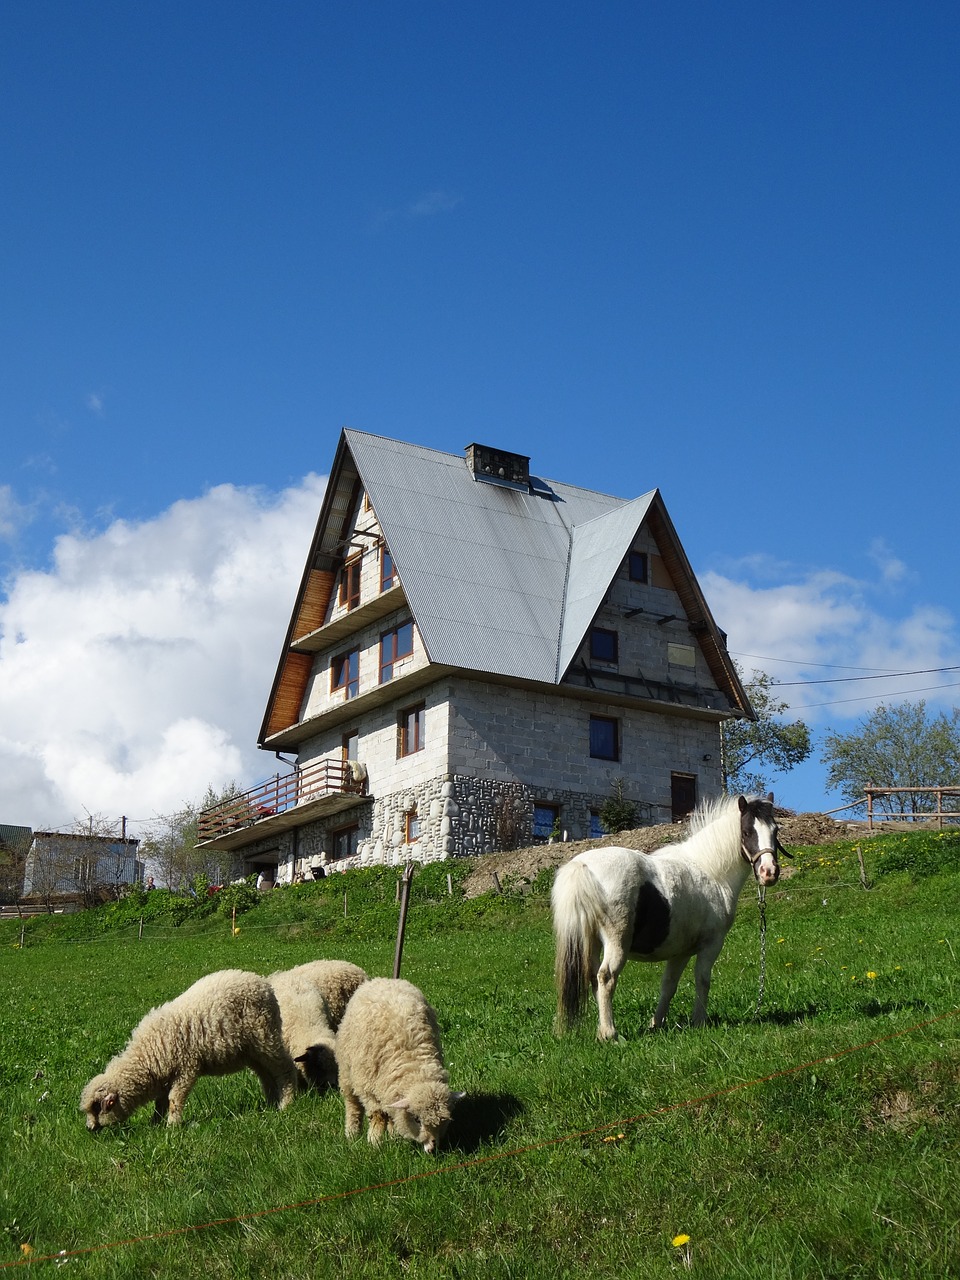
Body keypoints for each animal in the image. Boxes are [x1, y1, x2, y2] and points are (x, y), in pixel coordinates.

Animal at [80, 967, 299, 1131]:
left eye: (97, 1107)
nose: (90, 1129)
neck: (147, 1057)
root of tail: (262, 982)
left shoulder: (186, 1068)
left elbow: (174, 1099)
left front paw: (172, 1126)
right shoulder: (165, 1076)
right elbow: (160, 1103)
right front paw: (155, 1123)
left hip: (266, 1037)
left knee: (284, 1069)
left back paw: (286, 1104)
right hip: (252, 1051)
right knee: (266, 1074)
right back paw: (271, 1103)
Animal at [332, 972, 463, 1157]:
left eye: (444, 1120)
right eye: (417, 1119)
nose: (432, 1149)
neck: (413, 1062)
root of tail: (385, 980)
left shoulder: (391, 1089)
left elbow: (392, 1113)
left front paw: (393, 1138)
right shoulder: (368, 1087)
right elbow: (378, 1115)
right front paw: (375, 1143)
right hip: (346, 1070)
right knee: (352, 1103)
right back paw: (352, 1133)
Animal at [552, 788, 783, 1039]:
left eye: (775, 831)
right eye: (747, 831)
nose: (769, 872)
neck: (711, 871)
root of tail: (583, 866)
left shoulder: (680, 952)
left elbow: (669, 985)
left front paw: (656, 1024)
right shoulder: (711, 944)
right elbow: (702, 980)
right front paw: (699, 1021)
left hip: (590, 941)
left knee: (594, 978)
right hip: (616, 942)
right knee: (606, 977)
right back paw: (610, 1034)